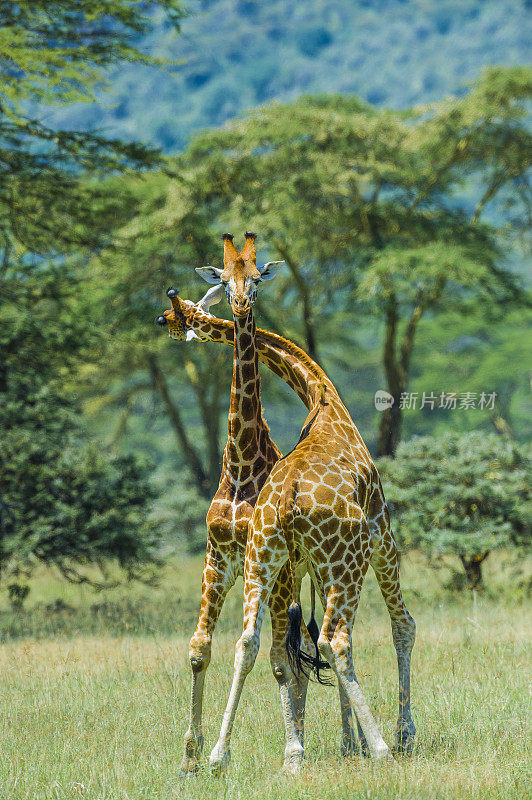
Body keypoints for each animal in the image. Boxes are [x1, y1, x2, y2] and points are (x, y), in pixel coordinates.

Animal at [157, 247, 416, 772]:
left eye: (186, 310)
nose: (164, 318)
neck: (323, 397)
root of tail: (290, 494)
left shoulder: (271, 561)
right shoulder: (380, 535)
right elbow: (398, 628)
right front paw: (396, 734)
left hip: (289, 562)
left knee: (289, 644)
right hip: (338, 561)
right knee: (332, 640)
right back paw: (376, 744)